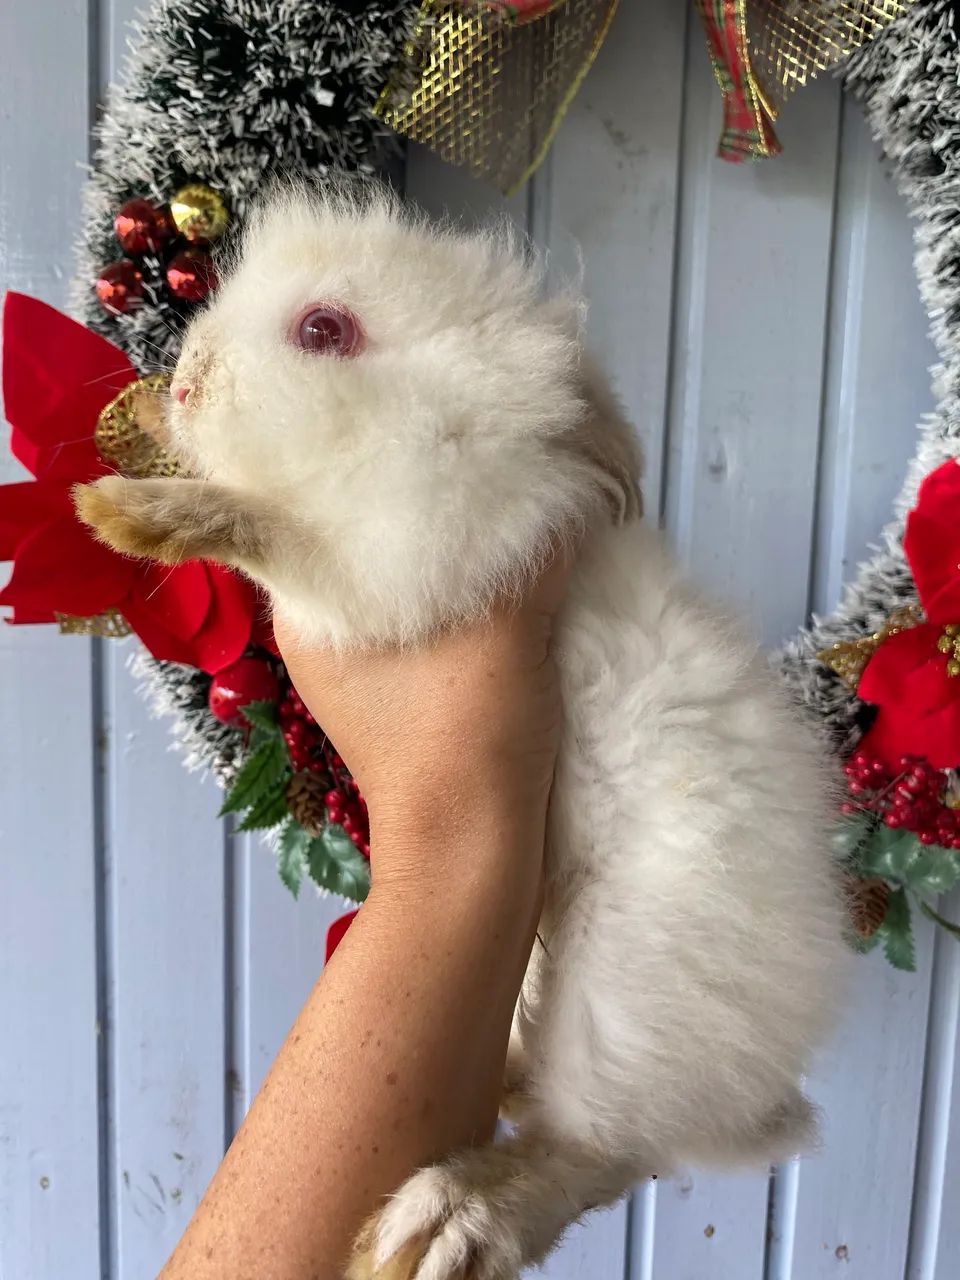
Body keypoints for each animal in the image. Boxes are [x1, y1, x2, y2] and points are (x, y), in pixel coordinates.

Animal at [75, 182, 847, 1280]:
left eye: (324, 330)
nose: (182, 382)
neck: (448, 424)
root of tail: (756, 1098)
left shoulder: (394, 563)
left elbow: (282, 535)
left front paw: (138, 512)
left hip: (621, 1010)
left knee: (596, 1154)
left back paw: (448, 1219)